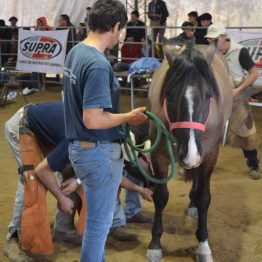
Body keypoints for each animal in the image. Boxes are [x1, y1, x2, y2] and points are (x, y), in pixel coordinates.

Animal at [147, 41, 233, 262]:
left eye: (209, 95)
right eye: (171, 95)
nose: (191, 156)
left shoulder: (209, 155)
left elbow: (204, 198)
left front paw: (203, 246)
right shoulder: (159, 155)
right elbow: (160, 196)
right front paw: (155, 244)